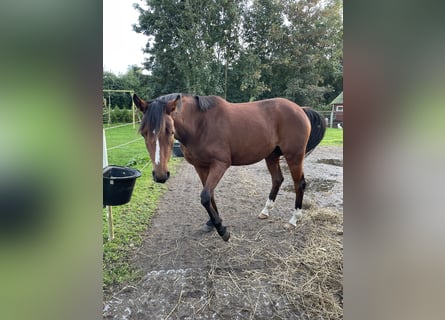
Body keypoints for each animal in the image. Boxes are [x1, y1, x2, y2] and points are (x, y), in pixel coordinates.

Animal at [134, 94, 324, 241]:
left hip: (294, 156)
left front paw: (222, 230)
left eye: (170, 131)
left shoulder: (220, 164)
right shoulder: (200, 166)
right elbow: (209, 195)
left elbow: (205, 196)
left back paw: (293, 220)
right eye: (143, 132)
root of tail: (300, 109)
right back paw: (265, 211)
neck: (201, 125)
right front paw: (212, 223)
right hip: (271, 155)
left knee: (299, 184)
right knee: (277, 179)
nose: (160, 175)